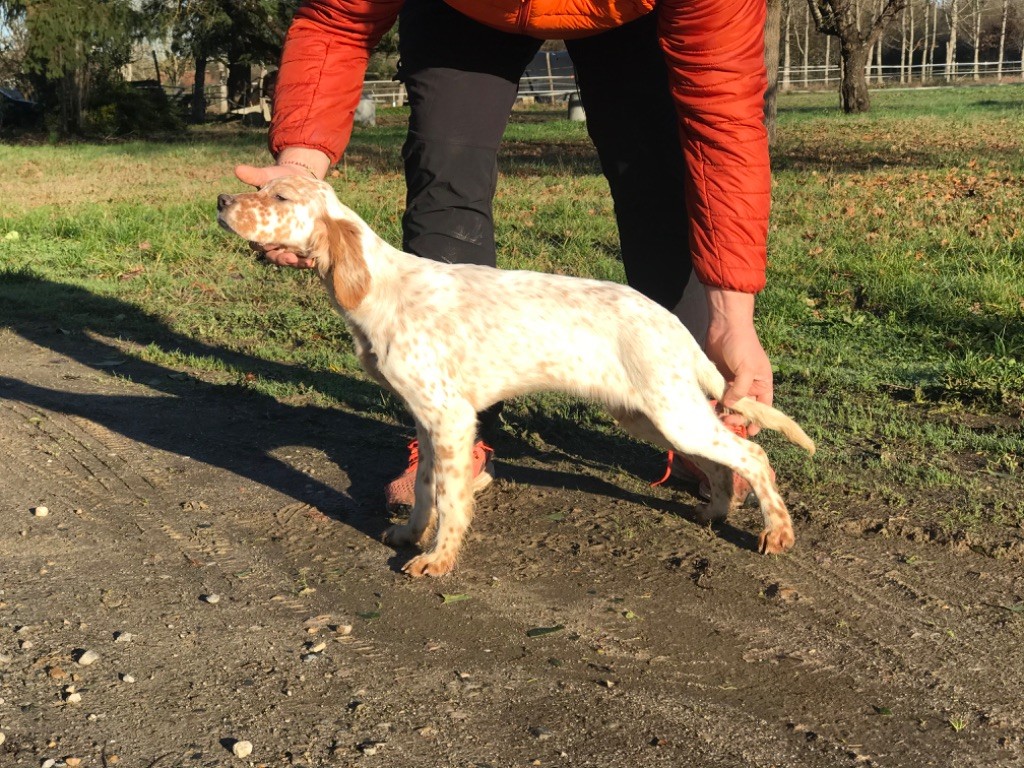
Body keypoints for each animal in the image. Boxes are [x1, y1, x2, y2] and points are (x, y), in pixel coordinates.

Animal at [218, 179, 815, 577]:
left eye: (281, 198)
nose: (221, 201)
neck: (380, 288)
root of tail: (672, 322)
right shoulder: (428, 422)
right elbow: (424, 488)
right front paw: (411, 535)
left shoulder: (451, 418)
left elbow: (451, 497)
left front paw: (439, 558)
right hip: (648, 415)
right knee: (720, 461)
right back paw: (716, 509)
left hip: (671, 412)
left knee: (751, 453)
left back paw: (777, 531)